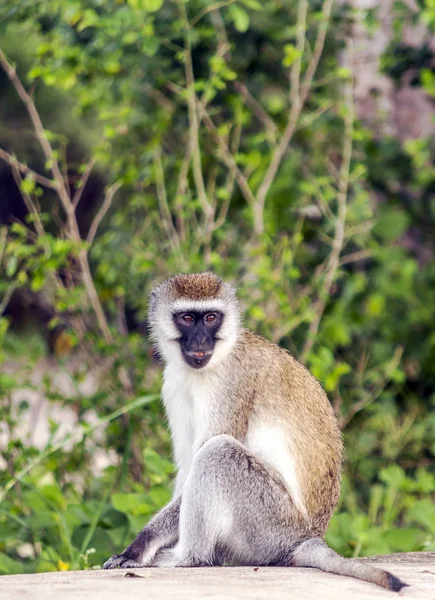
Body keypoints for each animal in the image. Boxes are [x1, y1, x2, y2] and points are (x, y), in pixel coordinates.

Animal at [104, 274, 408, 592]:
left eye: (211, 318)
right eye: (187, 318)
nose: (200, 340)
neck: (216, 359)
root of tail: (306, 538)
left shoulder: (231, 382)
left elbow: (204, 456)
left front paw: (139, 547)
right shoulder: (173, 383)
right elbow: (187, 467)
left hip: (269, 524)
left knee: (217, 453)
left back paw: (189, 557)